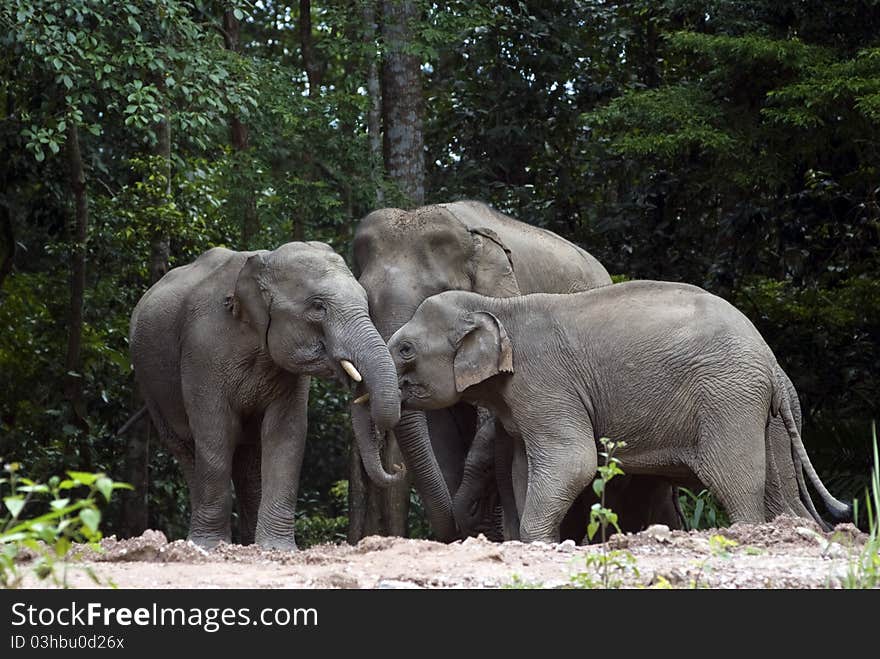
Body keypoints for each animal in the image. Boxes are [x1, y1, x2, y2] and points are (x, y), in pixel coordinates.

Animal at [128, 244, 402, 552]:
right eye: (318, 307)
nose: (396, 467)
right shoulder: (202, 352)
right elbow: (214, 429)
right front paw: (209, 547)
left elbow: (286, 431)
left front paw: (276, 548)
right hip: (150, 385)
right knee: (188, 447)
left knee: (247, 455)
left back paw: (249, 543)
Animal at [386, 282, 852, 544]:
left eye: (406, 349)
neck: (499, 306)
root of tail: (772, 364)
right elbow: (523, 468)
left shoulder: (547, 384)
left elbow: (573, 461)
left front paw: (540, 543)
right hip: (764, 415)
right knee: (779, 490)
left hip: (729, 398)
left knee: (735, 481)